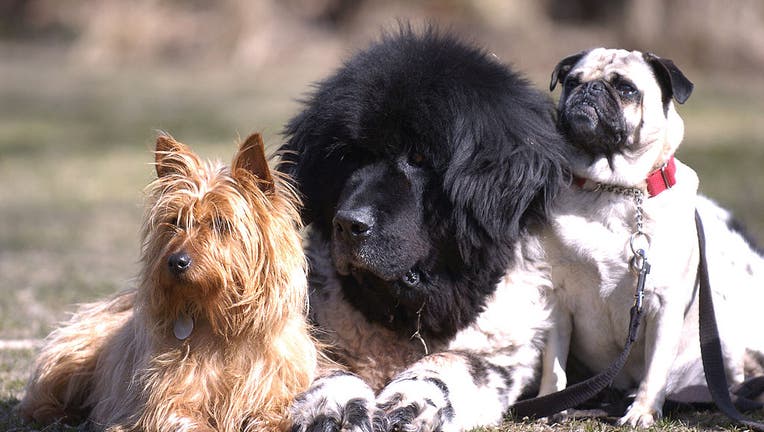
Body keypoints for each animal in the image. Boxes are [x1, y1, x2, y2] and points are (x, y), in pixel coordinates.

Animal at [17, 133, 316, 430]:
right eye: (175, 221)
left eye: (221, 223)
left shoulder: (273, 398)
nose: (176, 262)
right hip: (71, 355)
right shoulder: (163, 404)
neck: (220, 325)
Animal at [278, 27, 572, 432]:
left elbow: (452, 363)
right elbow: (319, 362)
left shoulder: (502, 351)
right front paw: (334, 404)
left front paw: (413, 401)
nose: (349, 223)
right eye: (347, 157)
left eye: (418, 158)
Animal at [540, 49, 764, 426]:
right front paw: (549, 404)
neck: (612, 189)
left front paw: (642, 411)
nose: (589, 90)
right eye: (572, 82)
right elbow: (553, 366)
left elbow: (655, 369)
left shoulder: (664, 304)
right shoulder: (559, 302)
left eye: (626, 89)